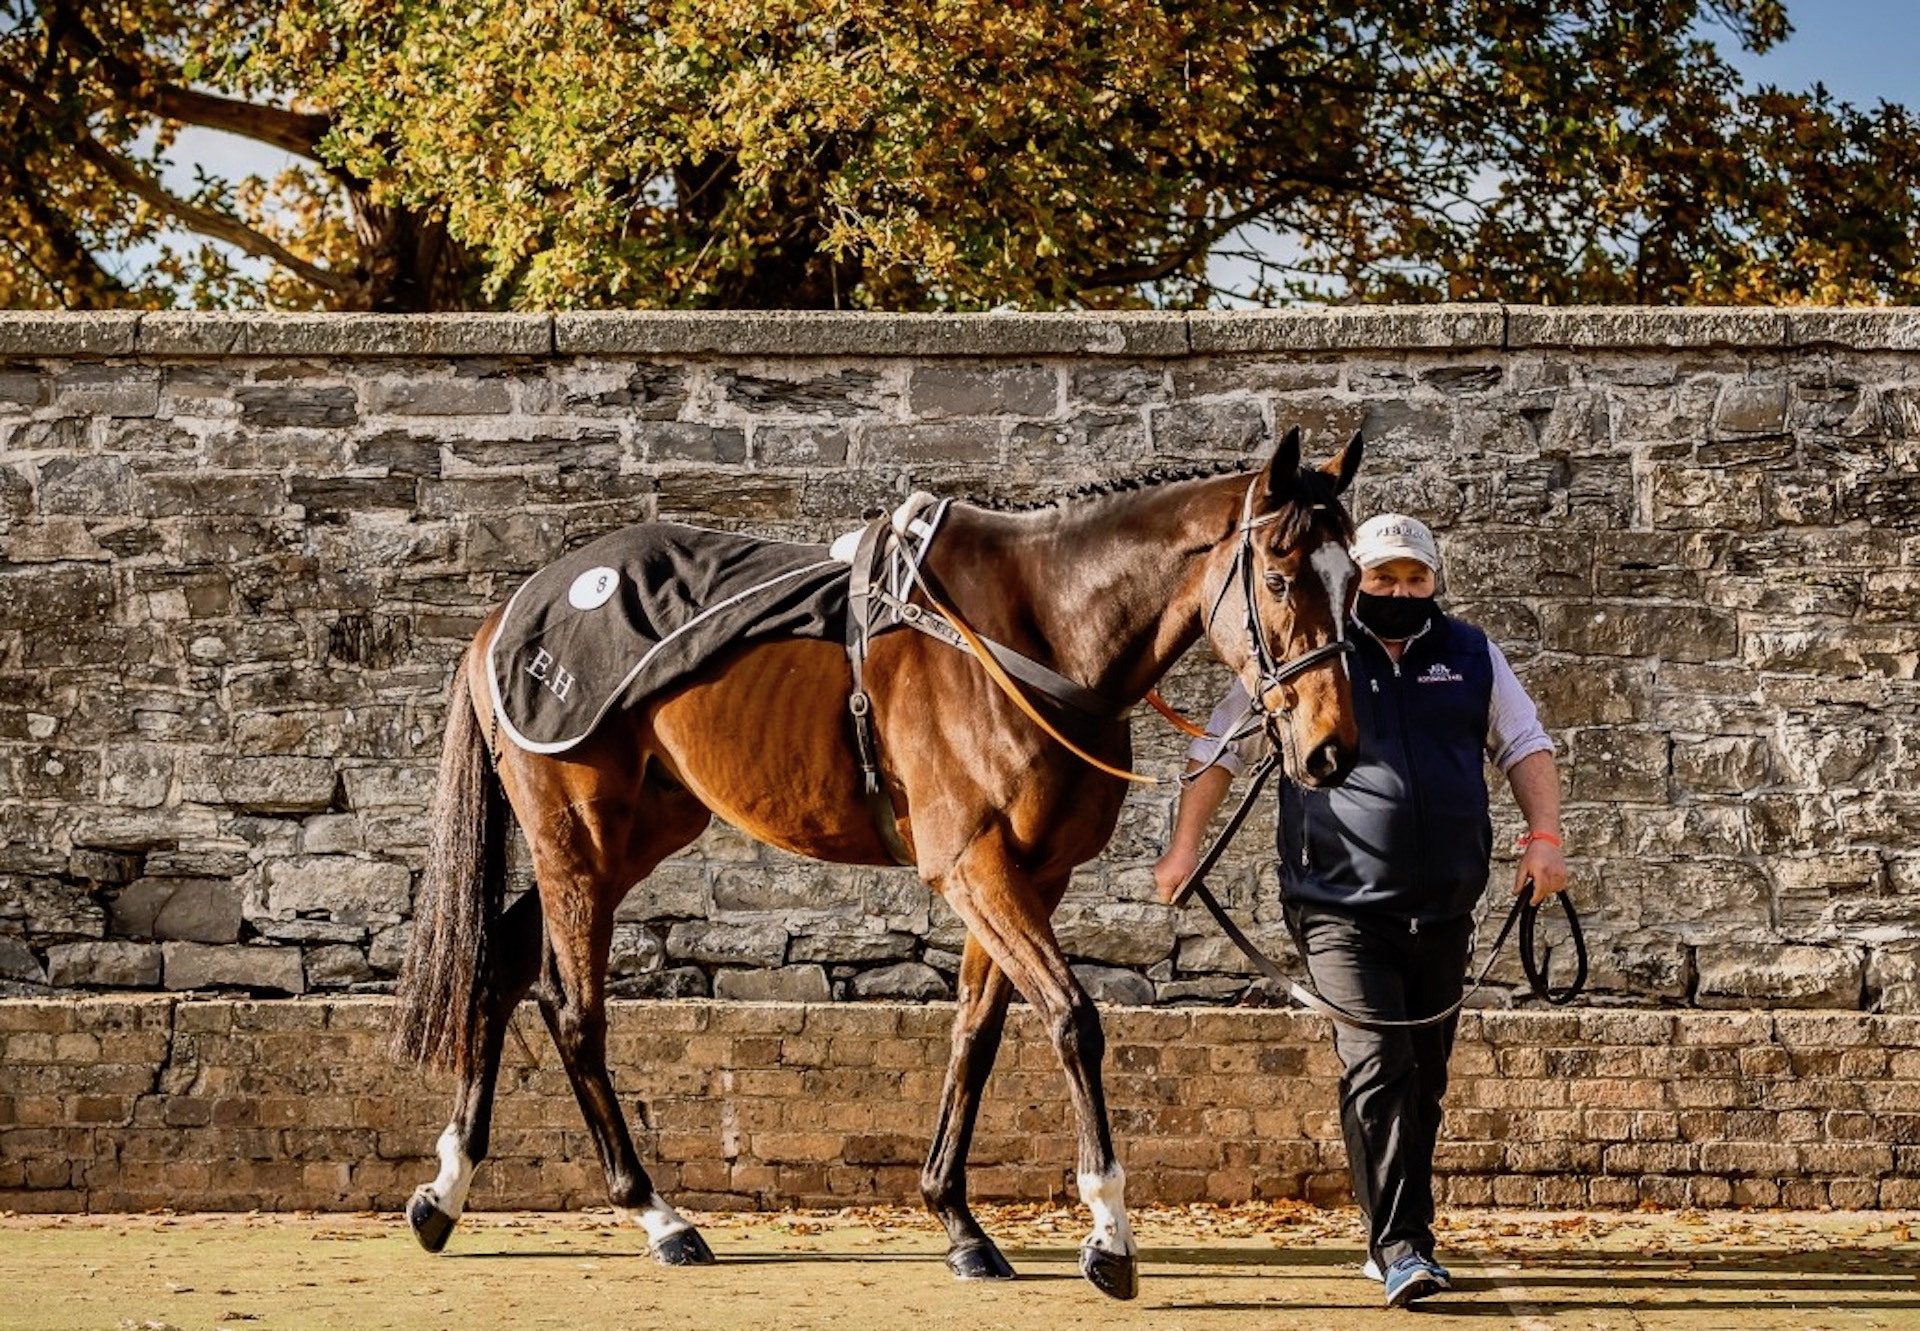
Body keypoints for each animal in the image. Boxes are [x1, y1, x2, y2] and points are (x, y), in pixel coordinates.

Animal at [393, 422, 1367, 1298]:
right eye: (1280, 577)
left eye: (1355, 579)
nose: (1329, 749)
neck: (1037, 629)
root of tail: (504, 615)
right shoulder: (972, 864)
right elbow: (1072, 1018)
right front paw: (1107, 1231)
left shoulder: (1029, 873)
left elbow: (976, 1032)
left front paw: (959, 1220)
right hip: (578, 839)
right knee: (572, 1010)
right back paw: (658, 1214)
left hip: (634, 833)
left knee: (498, 967)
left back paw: (446, 1190)